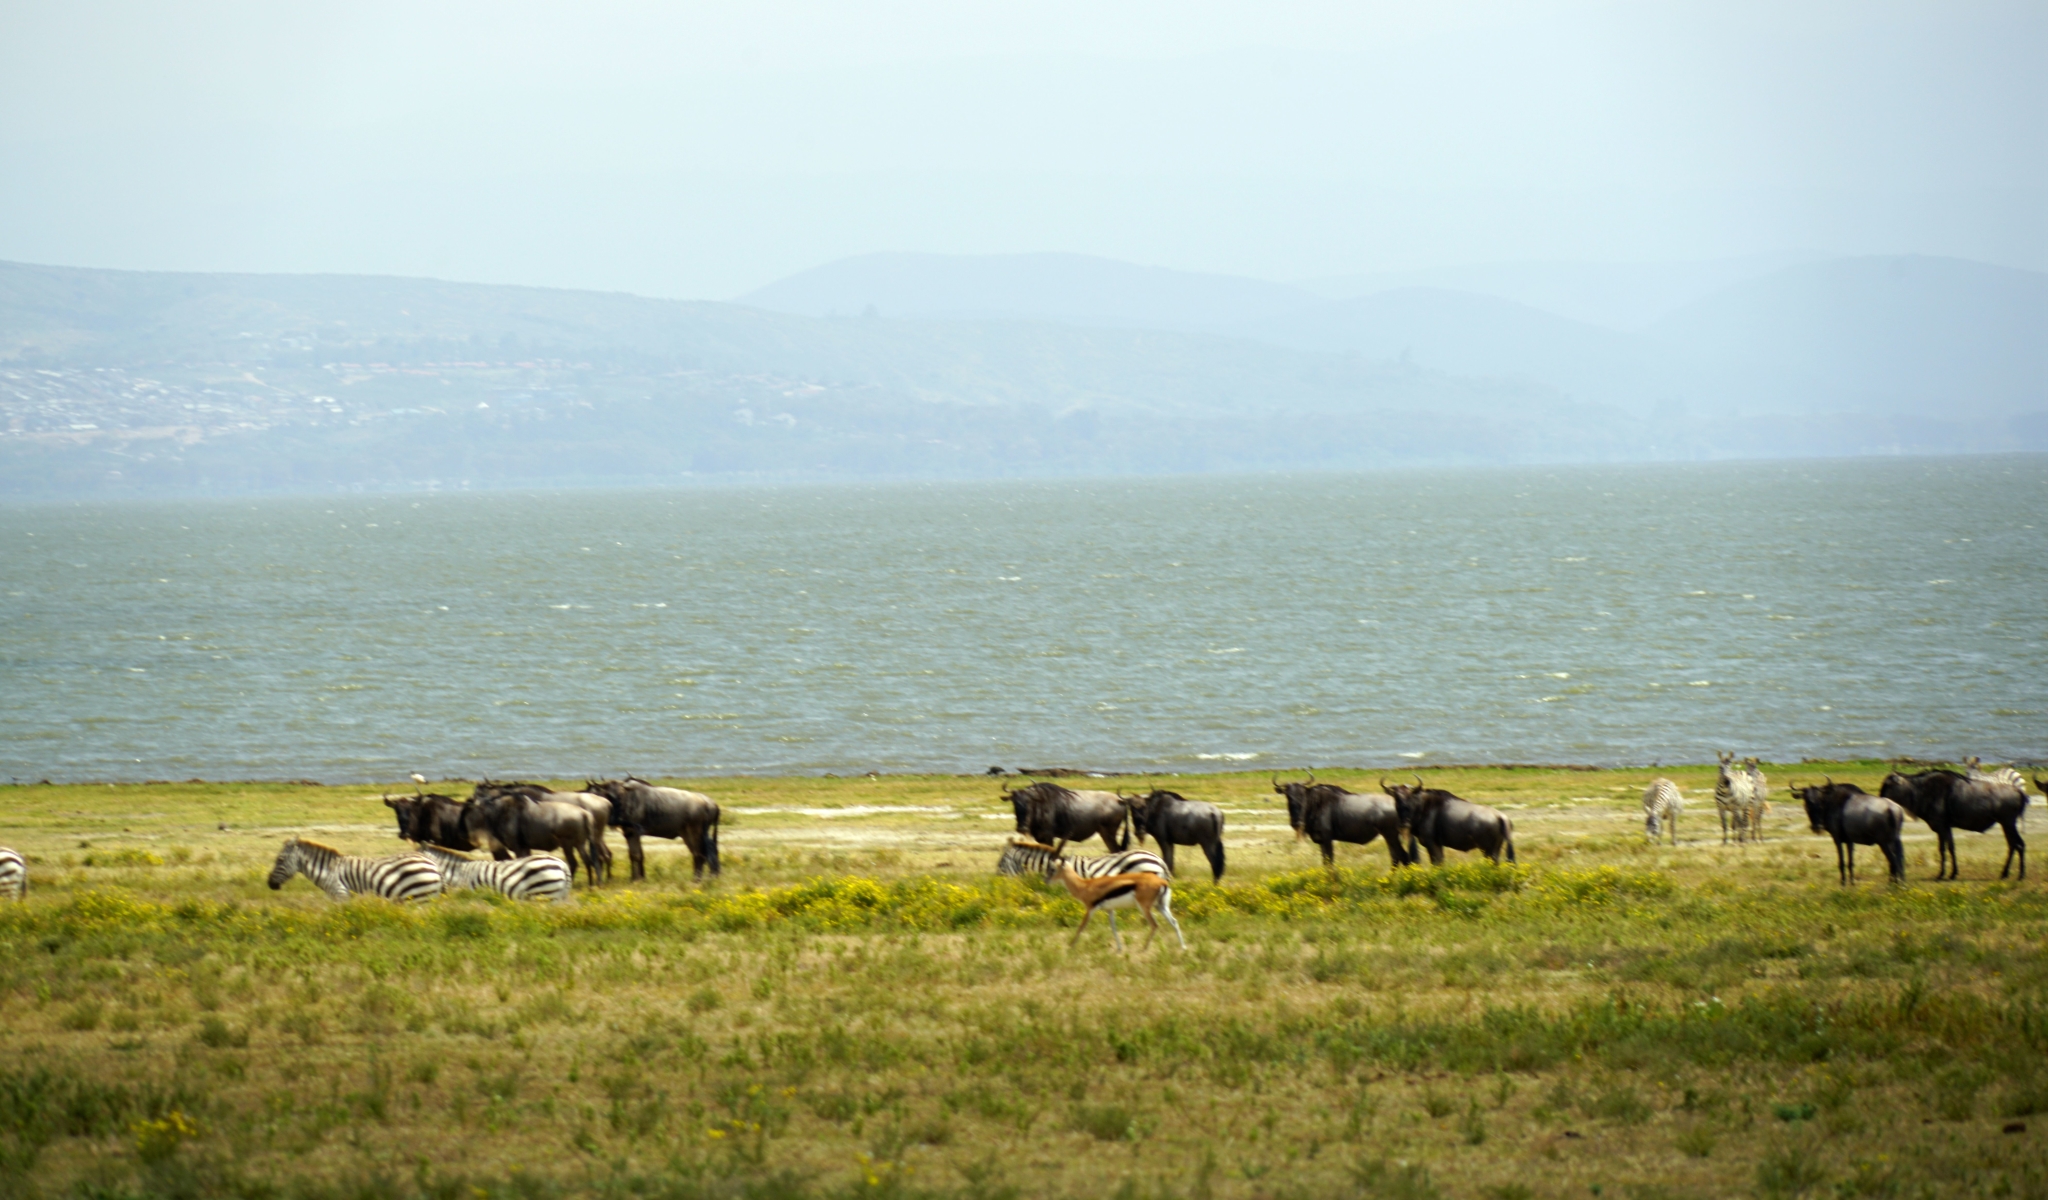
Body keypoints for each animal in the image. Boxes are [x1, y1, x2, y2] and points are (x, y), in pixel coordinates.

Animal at [266, 835, 442, 901]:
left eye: (280, 860)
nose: (270, 884)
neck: (327, 871)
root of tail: (432, 863)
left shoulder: (341, 894)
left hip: (420, 897)